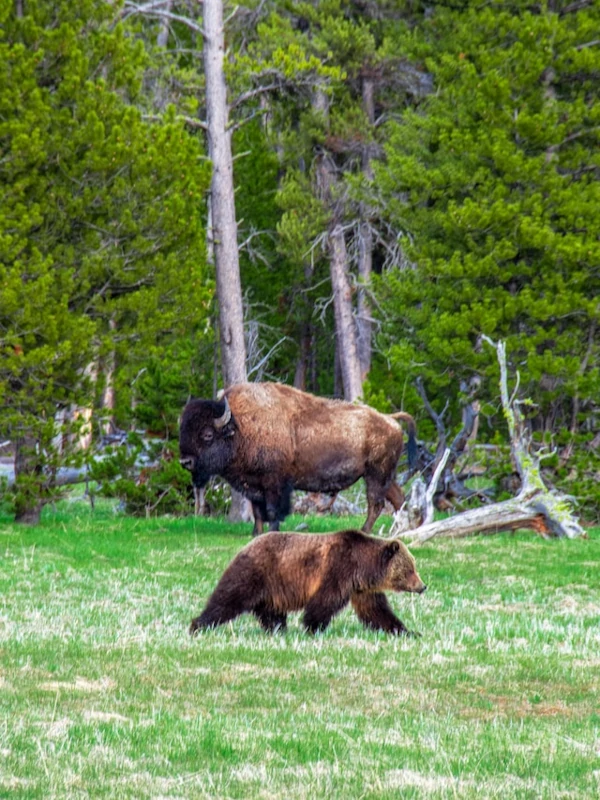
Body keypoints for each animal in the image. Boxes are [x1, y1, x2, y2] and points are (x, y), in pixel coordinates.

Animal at [179, 383, 416, 536]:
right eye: (183, 430)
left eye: (207, 434)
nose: (185, 462)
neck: (241, 427)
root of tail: (390, 419)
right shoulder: (253, 484)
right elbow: (257, 511)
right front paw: (256, 533)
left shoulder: (274, 483)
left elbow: (272, 510)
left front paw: (271, 532)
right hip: (385, 476)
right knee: (397, 498)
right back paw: (404, 530)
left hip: (375, 474)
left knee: (376, 503)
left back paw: (365, 531)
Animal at [189, 529, 427, 636]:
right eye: (410, 569)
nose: (423, 586)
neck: (363, 566)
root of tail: (246, 545)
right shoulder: (338, 569)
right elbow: (324, 601)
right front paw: (313, 627)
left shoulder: (362, 588)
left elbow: (377, 611)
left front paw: (407, 631)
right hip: (256, 572)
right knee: (228, 599)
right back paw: (198, 625)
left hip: (272, 588)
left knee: (270, 611)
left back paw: (278, 630)